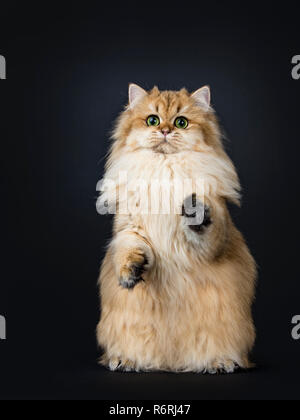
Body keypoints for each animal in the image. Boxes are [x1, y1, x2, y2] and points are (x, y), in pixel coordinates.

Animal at [96, 83, 255, 372]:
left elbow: (205, 222)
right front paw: (130, 273)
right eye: (152, 120)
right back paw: (124, 360)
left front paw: (195, 207)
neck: (165, 169)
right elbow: (129, 250)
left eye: (181, 122)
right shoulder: (130, 229)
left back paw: (220, 363)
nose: (166, 130)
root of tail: (171, 364)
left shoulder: (215, 238)